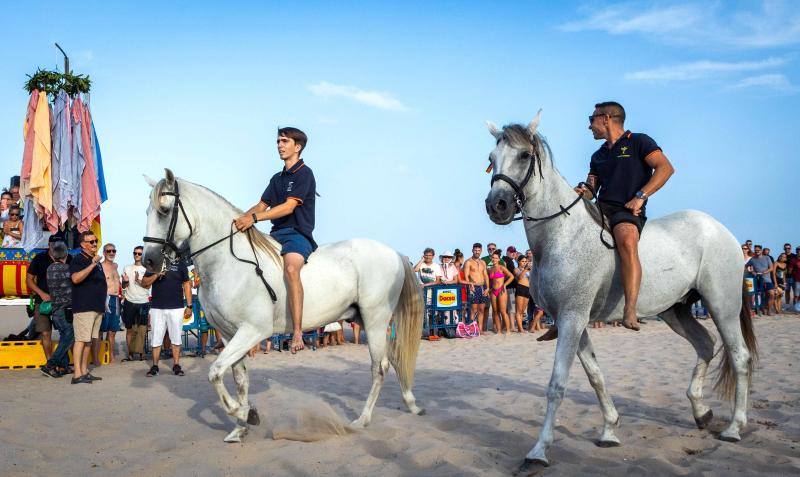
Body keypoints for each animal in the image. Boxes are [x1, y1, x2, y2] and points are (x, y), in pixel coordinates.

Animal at [142, 169, 424, 440]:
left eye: (164, 210)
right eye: (148, 211)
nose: (148, 262)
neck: (229, 263)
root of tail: (395, 253)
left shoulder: (252, 331)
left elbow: (215, 372)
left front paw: (246, 413)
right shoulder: (227, 334)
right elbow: (238, 378)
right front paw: (240, 427)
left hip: (376, 320)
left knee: (379, 368)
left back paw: (362, 420)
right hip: (365, 320)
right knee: (394, 360)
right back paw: (411, 403)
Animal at [482, 112, 756, 468]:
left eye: (525, 156)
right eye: (492, 159)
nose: (497, 206)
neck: (561, 234)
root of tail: (722, 231)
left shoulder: (572, 319)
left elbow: (557, 385)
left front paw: (539, 450)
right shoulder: (573, 321)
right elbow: (595, 375)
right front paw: (609, 430)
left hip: (723, 306)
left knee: (739, 357)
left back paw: (734, 427)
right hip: (675, 310)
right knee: (705, 345)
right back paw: (701, 411)